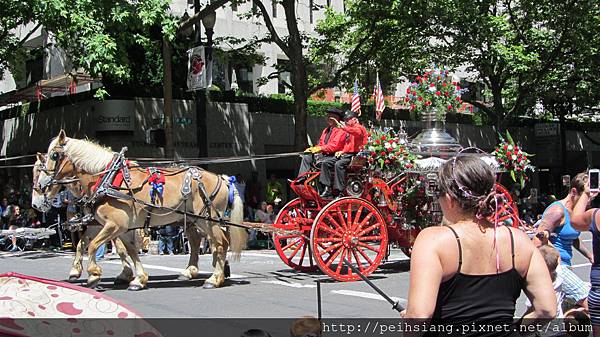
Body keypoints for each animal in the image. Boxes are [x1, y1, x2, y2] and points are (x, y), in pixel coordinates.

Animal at [29, 130, 246, 290]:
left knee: (220, 243)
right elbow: (125, 250)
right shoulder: (115, 226)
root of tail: (223, 179)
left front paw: (94, 275)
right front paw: (137, 278)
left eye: (55, 155)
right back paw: (199, 272)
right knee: (200, 242)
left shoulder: (114, 225)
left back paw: (214, 278)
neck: (106, 179)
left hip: (207, 219)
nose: (37, 202)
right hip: (195, 220)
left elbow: (94, 246)